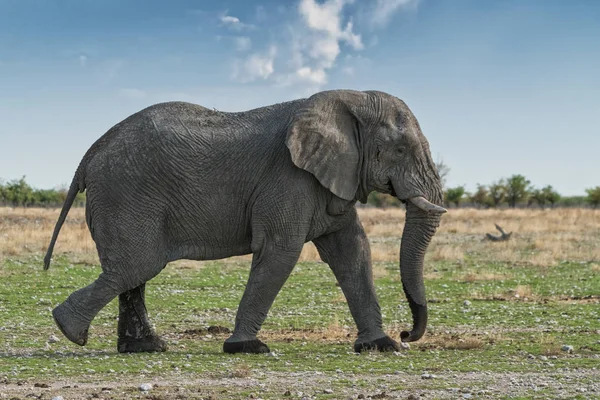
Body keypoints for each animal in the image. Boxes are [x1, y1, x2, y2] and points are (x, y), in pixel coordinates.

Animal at [44, 89, 446, 354]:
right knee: (135, 265)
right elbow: (281, 251)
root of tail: (90, 153)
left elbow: (352, 251)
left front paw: (381, 345)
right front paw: (248, 347)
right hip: (125, 195)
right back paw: (69, 329)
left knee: (133, 271)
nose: (408, 335)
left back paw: (144, 347)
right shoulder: (288, 177)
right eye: (399, 149)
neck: (347, 101)